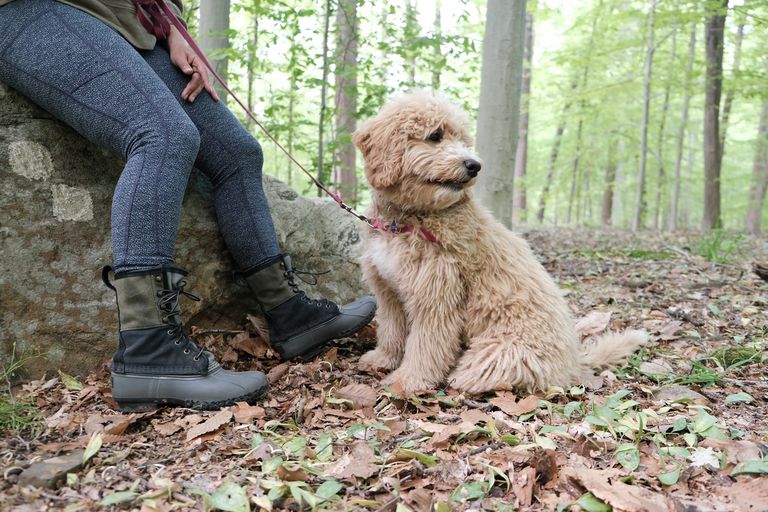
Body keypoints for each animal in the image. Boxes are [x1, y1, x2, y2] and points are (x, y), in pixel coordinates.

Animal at [354, 91, 648, 392]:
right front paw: (383, 358)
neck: (407, 220)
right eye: (435, 135)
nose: (474, 165)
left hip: (495, 355)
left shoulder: (437, 296)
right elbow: (391, 329)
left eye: (463, 140)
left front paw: (408, 379)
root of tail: (574, 360)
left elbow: (426, 344)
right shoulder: (388, 290)